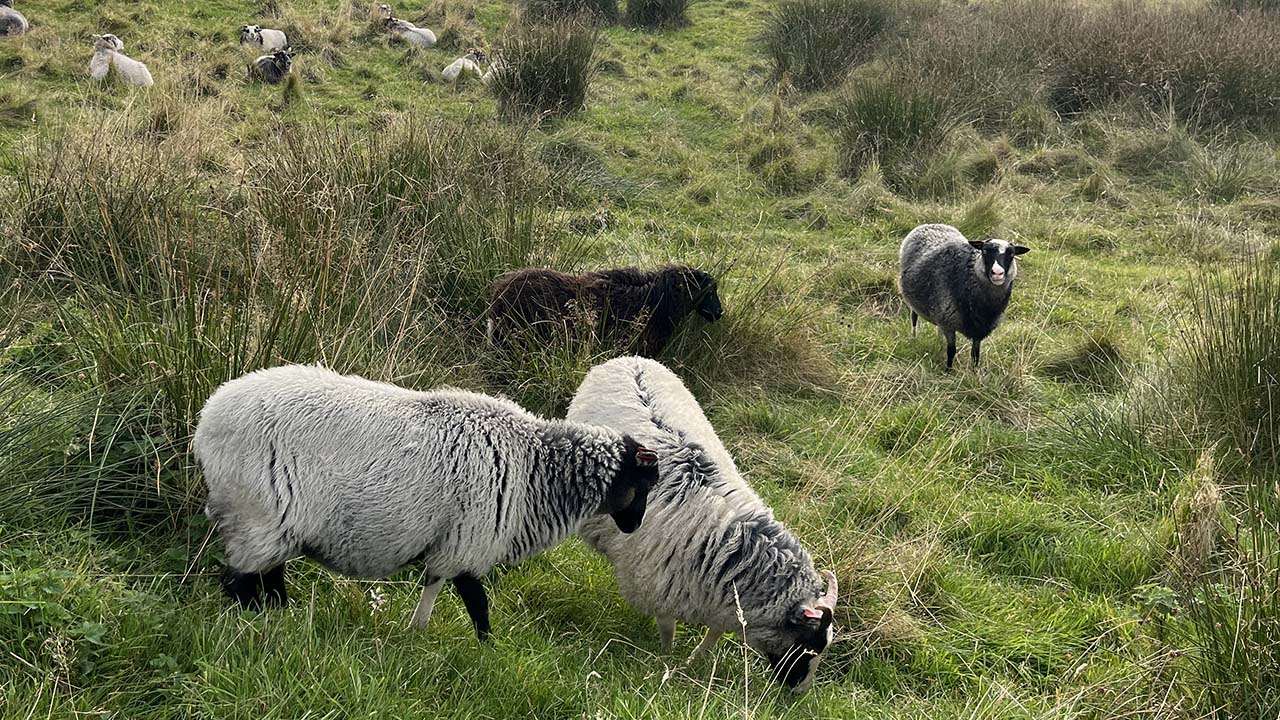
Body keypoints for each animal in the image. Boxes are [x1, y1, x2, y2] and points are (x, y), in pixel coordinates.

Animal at [194, 363, 665, 638]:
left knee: (266, 576)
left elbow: (434, 587)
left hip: (268, 522)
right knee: (240, 581)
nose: (635, 526)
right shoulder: (470, 539)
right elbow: (476, 603)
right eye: (644, 483)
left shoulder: (451, 544)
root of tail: (207, 421)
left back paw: (280, 618)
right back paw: (257, 626)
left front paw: (416, 633)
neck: (534, 466)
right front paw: (487, 650)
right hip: (259, 513)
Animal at [570, 353, 839, 691]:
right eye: (808, 647)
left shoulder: (722, 601)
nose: (798, 694)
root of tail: (631, 359)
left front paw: (694, 660)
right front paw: (666, 659)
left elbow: (714, 633)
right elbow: (668, 630)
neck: (733, 550)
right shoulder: (661, 589)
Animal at [901, 222, 1029, 368]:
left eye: (1011, 254)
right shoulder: (949, 324)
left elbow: (975, 354)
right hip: (914, 302)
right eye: (985, 251)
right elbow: (951, 351)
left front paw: (974, 371)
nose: (997, 273)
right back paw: (914, 337)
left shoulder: (979, 329)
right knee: (914, 318)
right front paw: (948, 370)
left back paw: (939, 342)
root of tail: (931, 224)